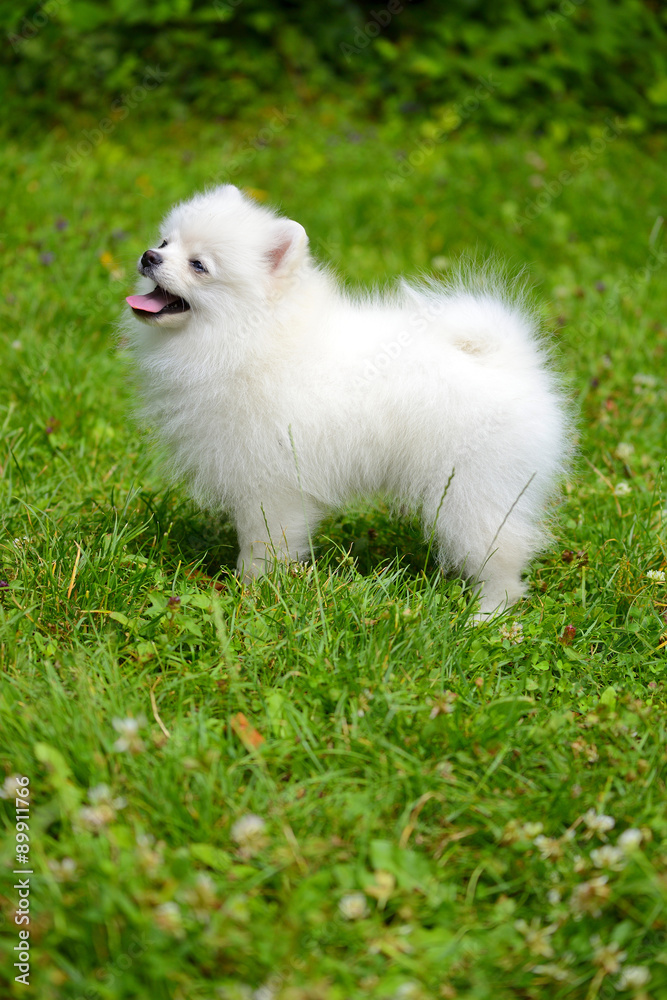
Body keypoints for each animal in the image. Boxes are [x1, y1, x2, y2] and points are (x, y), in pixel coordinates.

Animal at [122, 184, 572, 612]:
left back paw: (487, 614)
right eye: (165, 242)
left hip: (472, 491)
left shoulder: (271, 482)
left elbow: (262, 543)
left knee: (501, 558)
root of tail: (512, 363)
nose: (148, 256)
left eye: (199, 265)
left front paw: (252, 592)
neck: (251, 336)